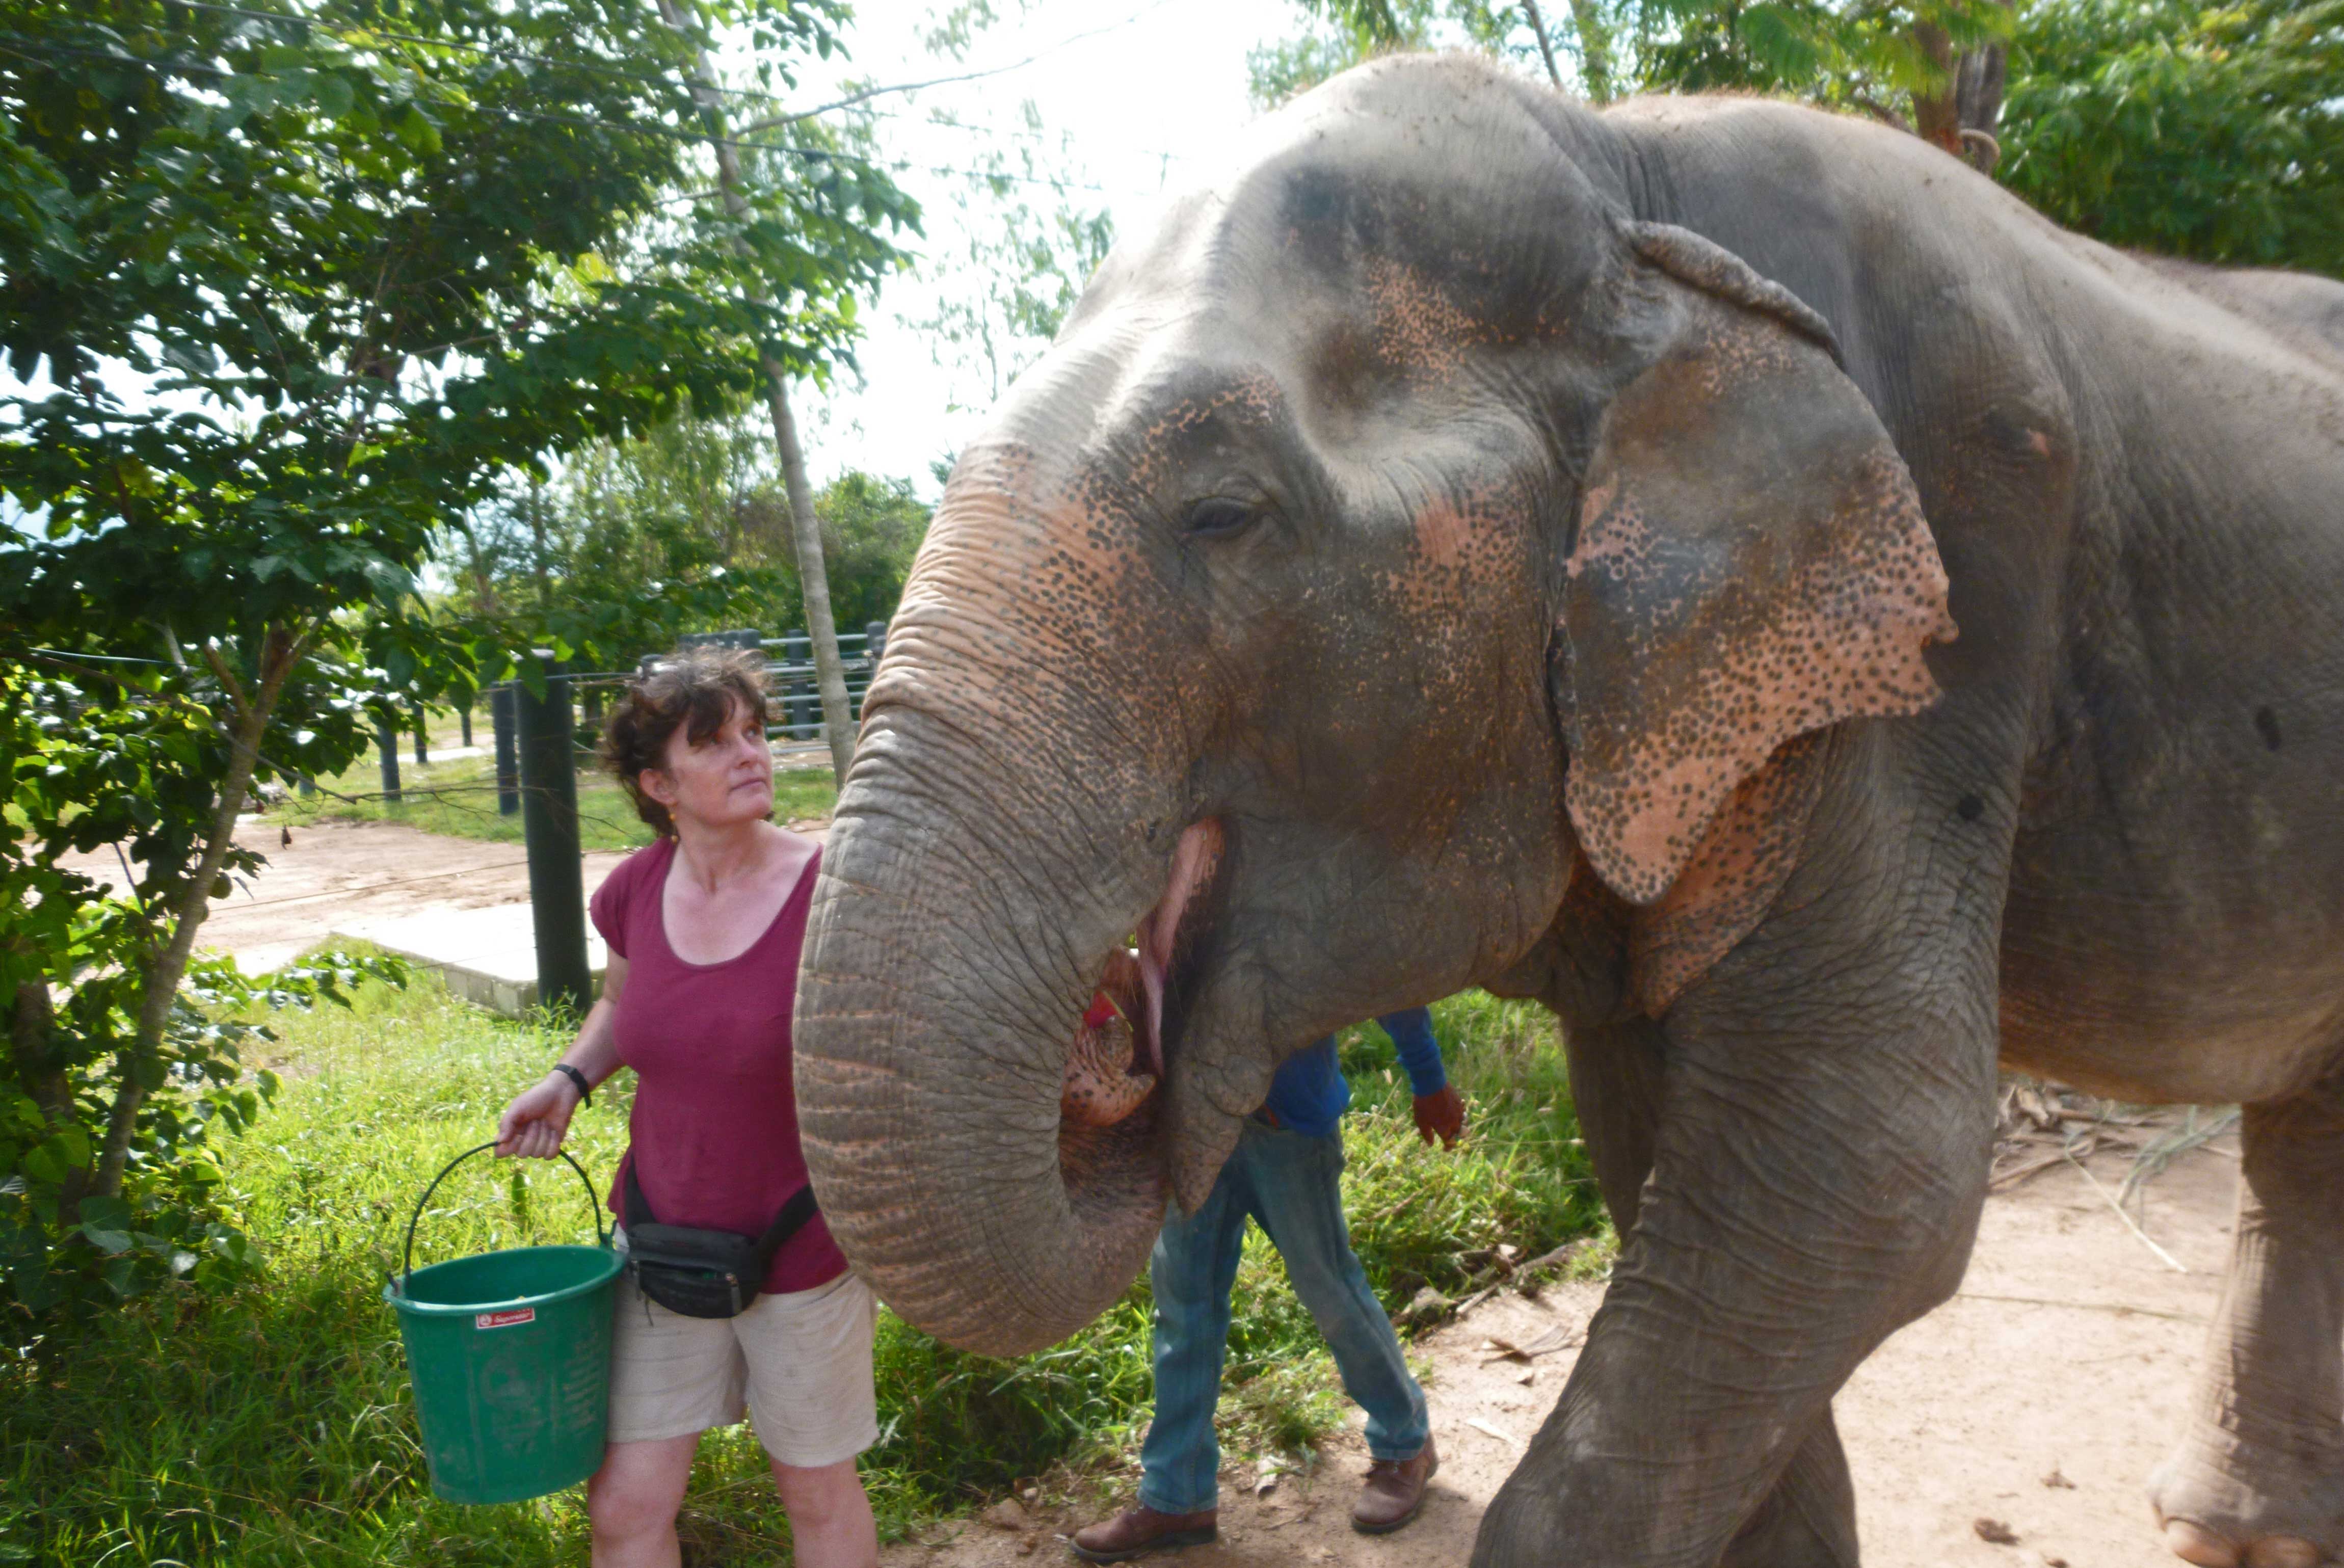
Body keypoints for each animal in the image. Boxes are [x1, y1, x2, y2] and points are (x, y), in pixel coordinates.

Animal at [797, 51, 2344, 1565]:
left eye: (1225, 513)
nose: (1111, 1035)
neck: (1626, 183)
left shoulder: (1931, 615)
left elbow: (1869, 1162)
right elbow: (1669, 1139)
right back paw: (2237, 1532)